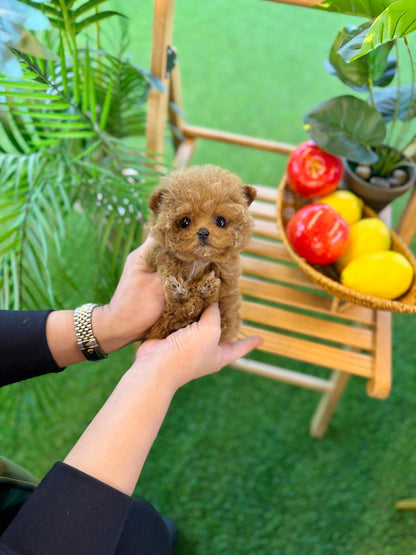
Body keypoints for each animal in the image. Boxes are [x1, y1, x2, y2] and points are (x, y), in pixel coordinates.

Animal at [145, 163, 256, 340]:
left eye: (221, 221)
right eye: (185, 222)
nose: (203, 232)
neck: (199, 260)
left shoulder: (228, 280)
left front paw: (203, 288)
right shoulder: (158, 256)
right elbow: (167, 260)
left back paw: (203, 291)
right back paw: (181, 293)